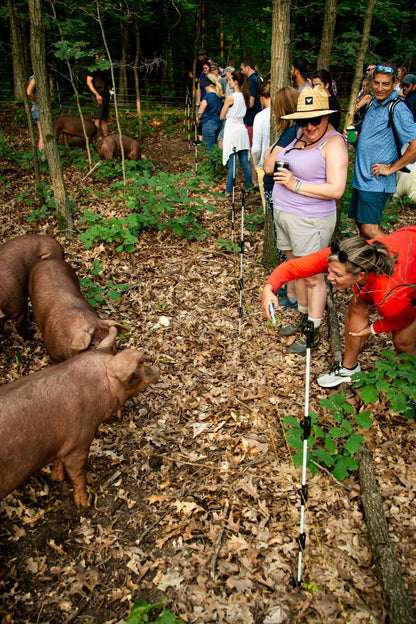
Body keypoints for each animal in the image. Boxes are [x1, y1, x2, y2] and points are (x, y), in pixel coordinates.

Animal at [0, 330, 159, 504]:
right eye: (135, 372)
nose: (157, 369)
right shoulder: (78, 441)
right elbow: (77, 472)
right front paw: (84, 503)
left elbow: (58, 461)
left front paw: (56, 478)